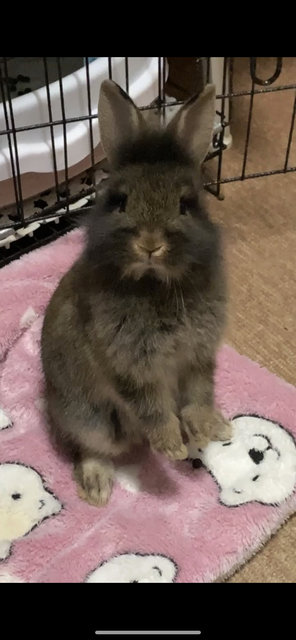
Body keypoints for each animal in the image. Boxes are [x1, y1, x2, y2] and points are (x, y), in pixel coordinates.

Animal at [40, 80, 230, 508]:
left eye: (186, 204)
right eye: (120, 201)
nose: (150, 244)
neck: (155, 282)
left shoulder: (198, 355)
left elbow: (199, 392)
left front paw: (205, 427)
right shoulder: (129, 365)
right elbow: (151, 405)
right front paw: (172, 446)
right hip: (92, 417)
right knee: (91, 446)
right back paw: (96, 487)